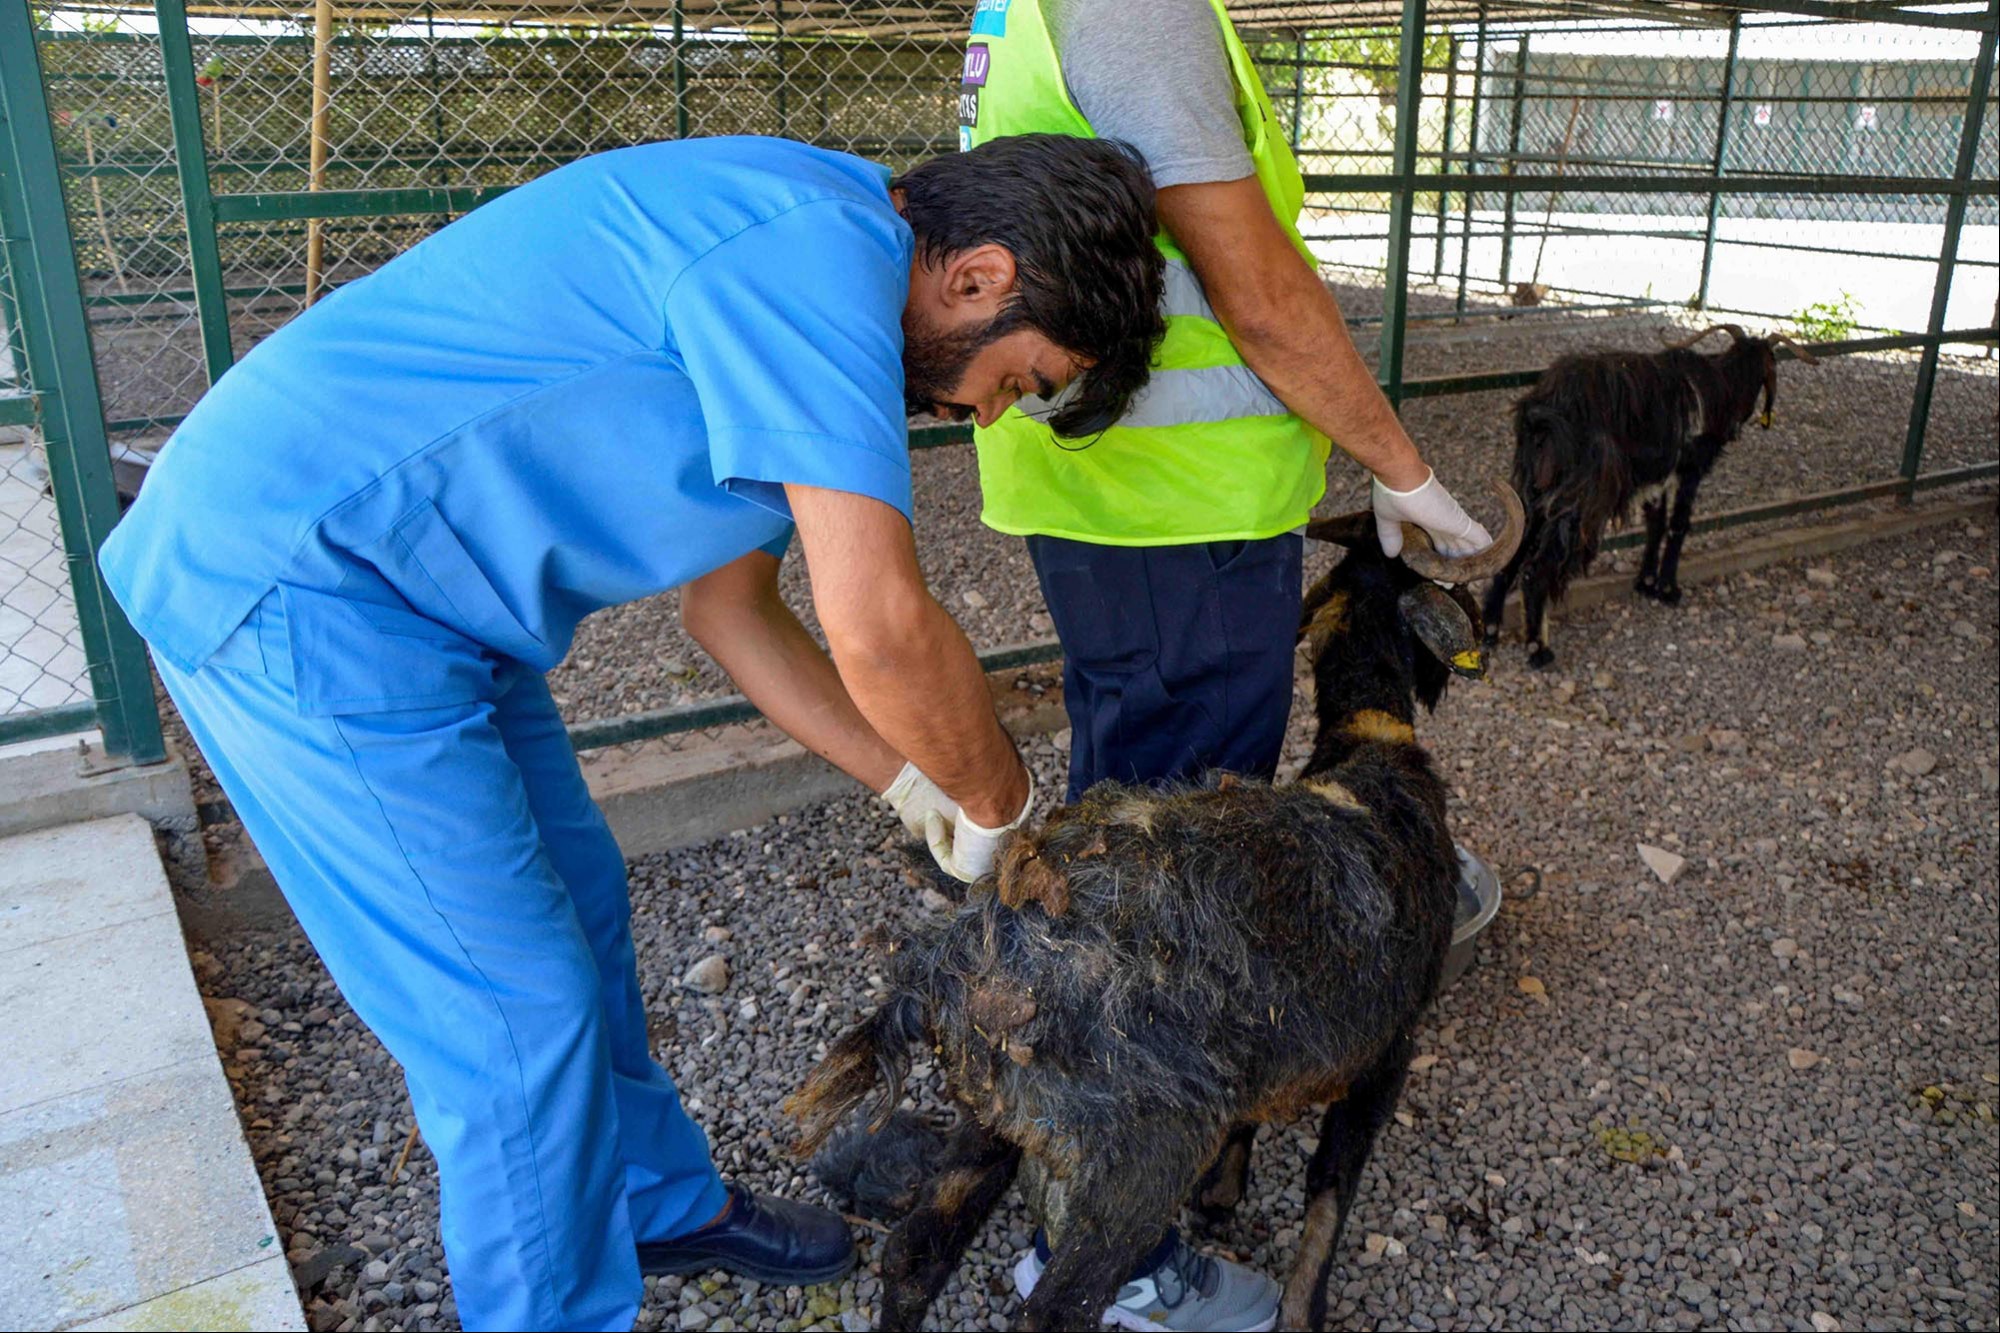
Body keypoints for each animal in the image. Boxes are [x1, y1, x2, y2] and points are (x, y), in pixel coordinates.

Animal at [788, 482, 1520, 1320]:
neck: (1370, 749)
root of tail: (952, 965)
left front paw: (1224, 1191)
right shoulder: (1388, 1046)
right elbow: (1331, 1190)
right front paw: (1300, 1307)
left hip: (988, 1115)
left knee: (915, 1253)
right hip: (1135, 1162)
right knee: (1054, 1306)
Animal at [1480, 322, 1824, 664]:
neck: (1720, 390)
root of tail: (1542, 411)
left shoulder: (1655, 479)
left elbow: (1655, 525)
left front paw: (1646, 583)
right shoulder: (1689, 469)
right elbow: (1678, 525)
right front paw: (1668, 589)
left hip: (1533, 489)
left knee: (1512, 549)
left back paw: (1491, 631)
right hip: (1579, 497)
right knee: (1535, 570)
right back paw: (1539, 650)